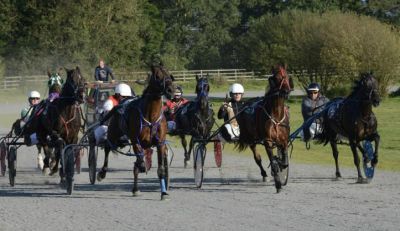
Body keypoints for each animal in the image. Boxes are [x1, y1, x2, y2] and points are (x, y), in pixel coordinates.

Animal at [104, 64, 173, 199]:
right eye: (157, 76)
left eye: (169, 74)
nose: (171, 90)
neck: (151, 116)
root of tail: (121, 104)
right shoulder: (136, 141)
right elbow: (140, 163)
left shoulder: (160, 143)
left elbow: (160, 169)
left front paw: (164, 192)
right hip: (113, 134)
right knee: (107, 147)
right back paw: (102, 173)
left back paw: (135, 188)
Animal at [236, 63, 292, 193]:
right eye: (276, 78)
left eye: (287, 76)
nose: (286, 91)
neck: (276, 117)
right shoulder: (268, 141)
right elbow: (272, 161)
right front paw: (278, 184)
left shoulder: (284, 140)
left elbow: (284, 161)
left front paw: (280, 164)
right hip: (251, 140)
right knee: (257, 158)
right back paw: (265, 175)